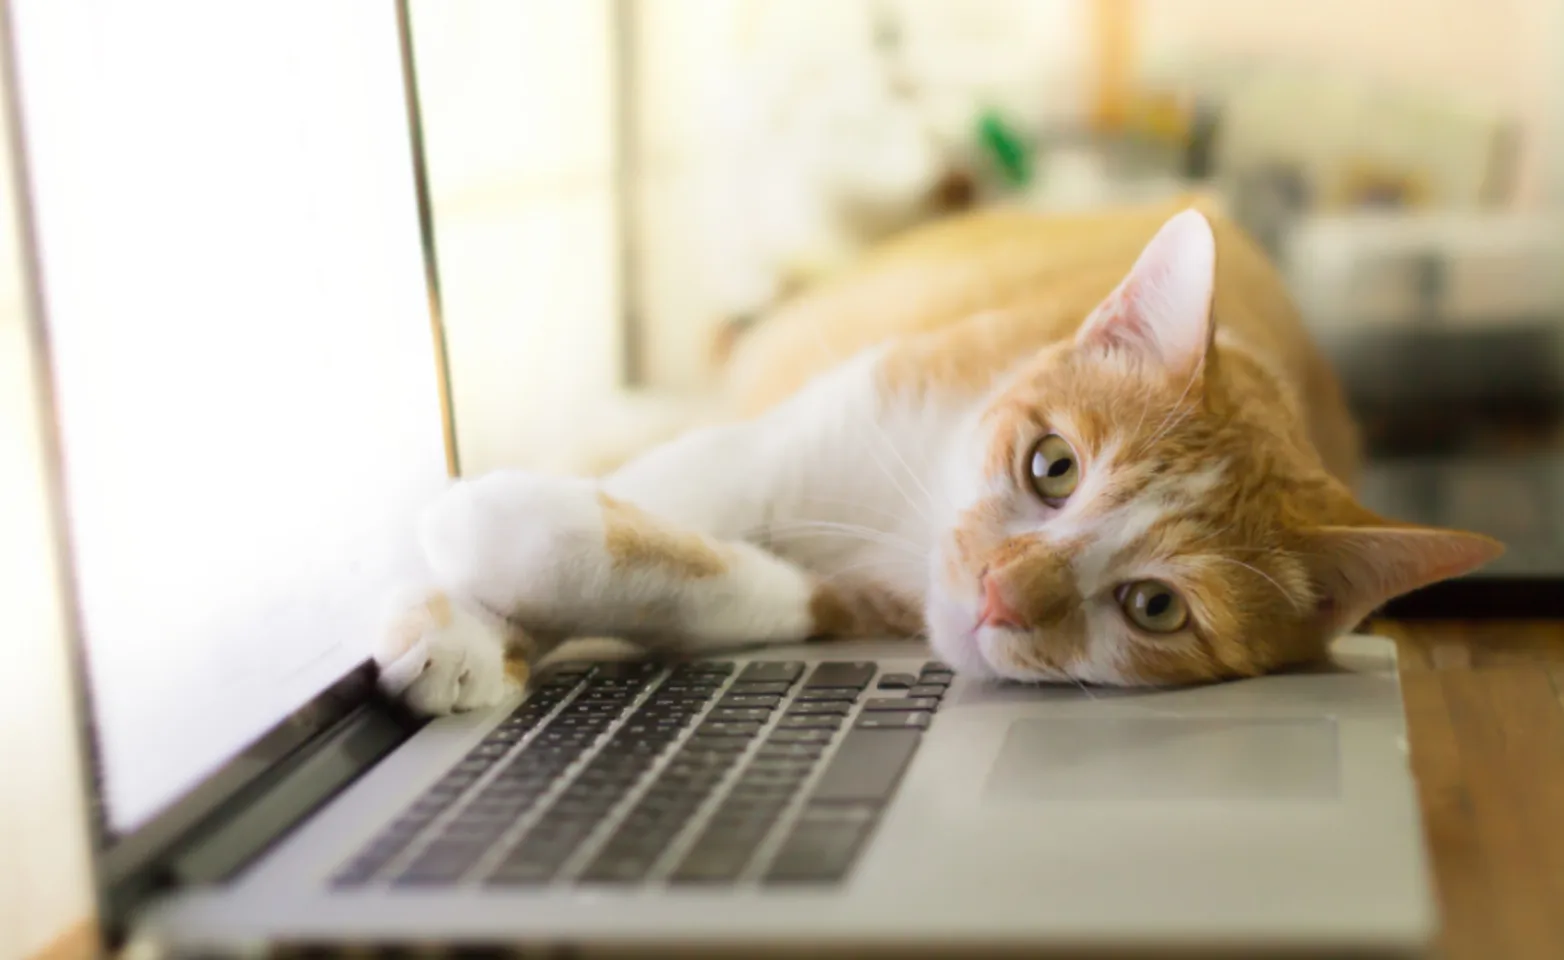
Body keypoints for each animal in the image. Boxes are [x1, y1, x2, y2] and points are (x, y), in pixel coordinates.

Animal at [378, 195, 1501, 716]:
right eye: (1053, 466)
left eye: (1154, 607)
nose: (1002, 592)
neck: (905, 523)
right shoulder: (783, 445)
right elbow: (644, 503)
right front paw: (459, 611)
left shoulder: (856, 599)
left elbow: (704, 575)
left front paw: (486, 570)